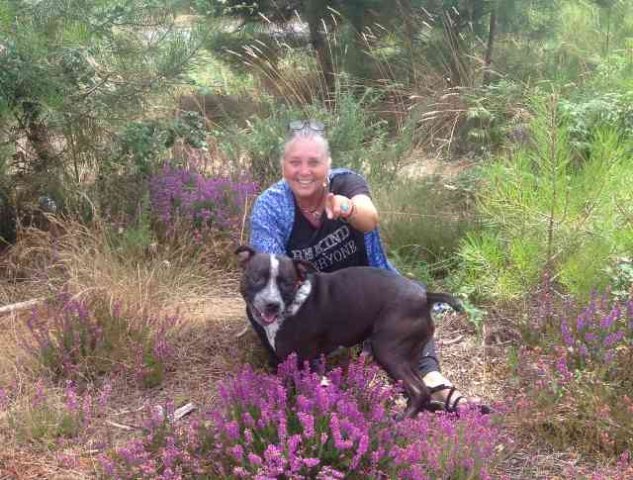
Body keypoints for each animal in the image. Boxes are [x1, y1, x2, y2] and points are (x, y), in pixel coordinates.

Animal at [235, 246, 462, 418]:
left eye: (287, 283)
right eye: (257, 278)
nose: (271, 304)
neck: (294, 301)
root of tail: (425, 296)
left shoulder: (300, 359)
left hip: (387, 350)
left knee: (419, 390)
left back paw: (401, 419)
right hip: (409, 355)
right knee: (423, 388)